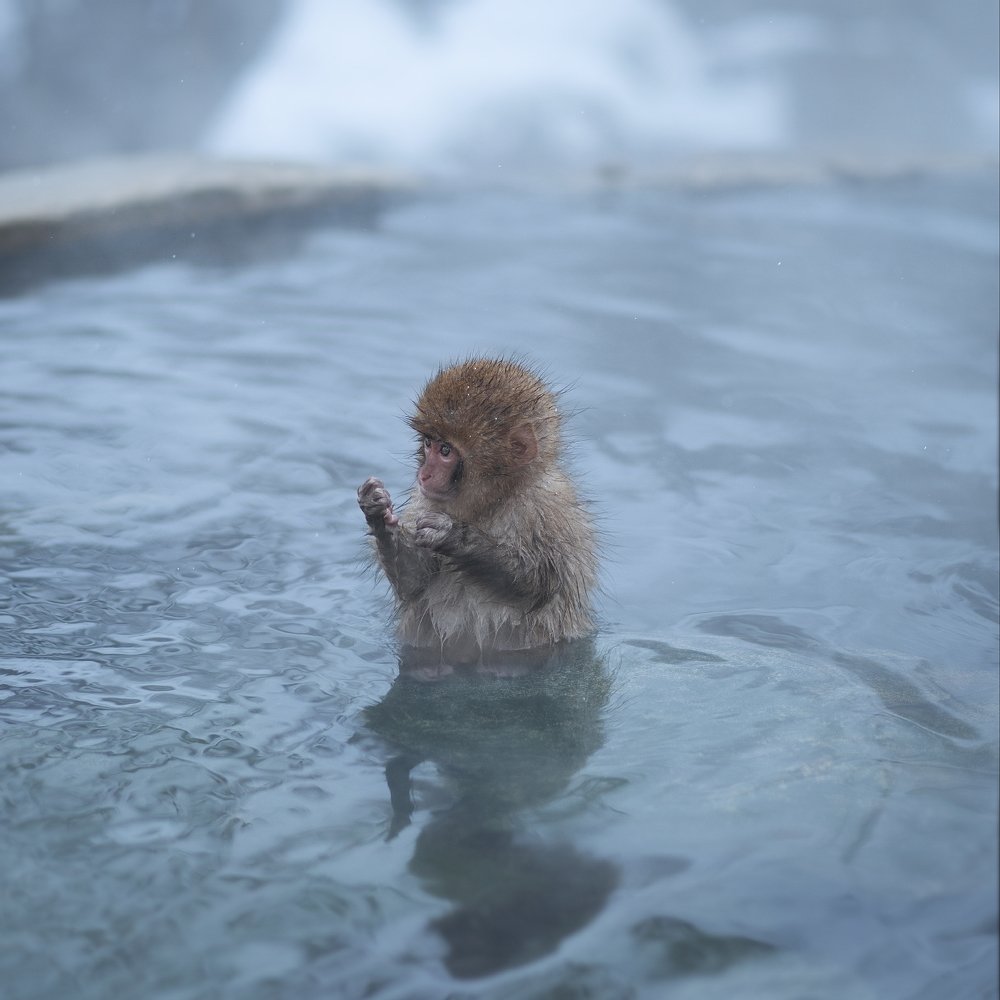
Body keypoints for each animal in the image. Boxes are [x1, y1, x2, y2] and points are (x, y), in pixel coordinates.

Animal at [358, 357, 597, 665]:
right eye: (428, 443)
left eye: (446, 451)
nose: (424, 475)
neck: (491, 502)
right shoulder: (424, 500)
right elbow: (414, 582)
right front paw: (379, 515)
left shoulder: (551, 509)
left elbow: (541, 583)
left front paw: (455, 536)